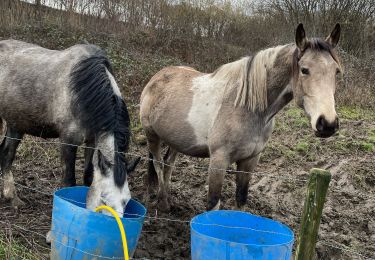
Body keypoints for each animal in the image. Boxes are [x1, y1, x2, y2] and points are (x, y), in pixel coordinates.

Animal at [0, 39, 140, 214]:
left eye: (126, 201)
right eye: (103, 198)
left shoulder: (92, 142)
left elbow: (88, 176)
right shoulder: (68, 142)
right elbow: (69, 181)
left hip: (16, 124)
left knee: (6, 154)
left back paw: (12, 198)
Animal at [141, 23, 344, 211]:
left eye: (336, 71)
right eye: (304, 70)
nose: (327, 123)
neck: (246, 108)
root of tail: (157, 77)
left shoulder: (250, 160)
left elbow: (241, 200)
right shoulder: (218, 160)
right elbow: (213, 205)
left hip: (176, 141)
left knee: (168, 164)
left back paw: (167, 199)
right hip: (152, 136)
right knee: (158, 165)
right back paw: (163, 202)